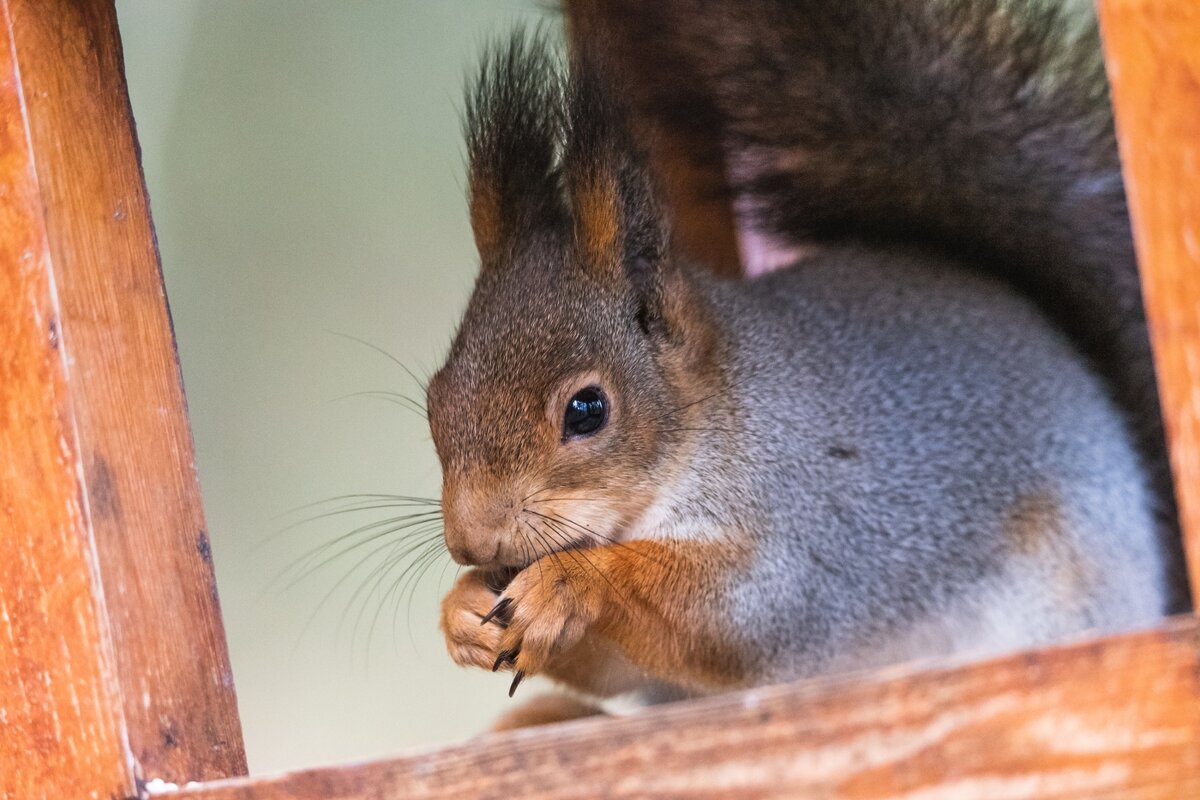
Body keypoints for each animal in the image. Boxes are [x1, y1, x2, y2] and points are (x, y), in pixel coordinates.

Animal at [427, 0, 1185, 724]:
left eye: (588, 409)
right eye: (435, 402)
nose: (471, 541)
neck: (714, 417)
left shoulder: (808, 527)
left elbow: (739, 617)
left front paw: (573, 580)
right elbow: (616, 665)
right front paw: (460, 610)